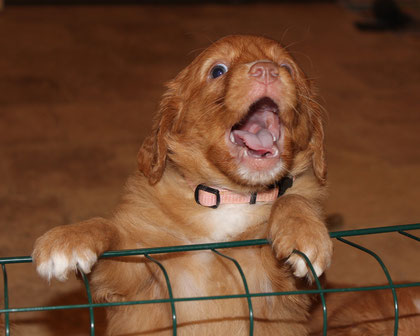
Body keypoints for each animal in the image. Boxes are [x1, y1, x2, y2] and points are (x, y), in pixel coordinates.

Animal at [32, 35, 334, 334]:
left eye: (288, 67)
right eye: (217, 71)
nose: (268, 70)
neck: (227, 196)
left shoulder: (279, 289)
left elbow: (292, 199)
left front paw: (304, 234)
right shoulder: (134, 278)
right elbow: (109, 229)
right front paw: (69, 238)